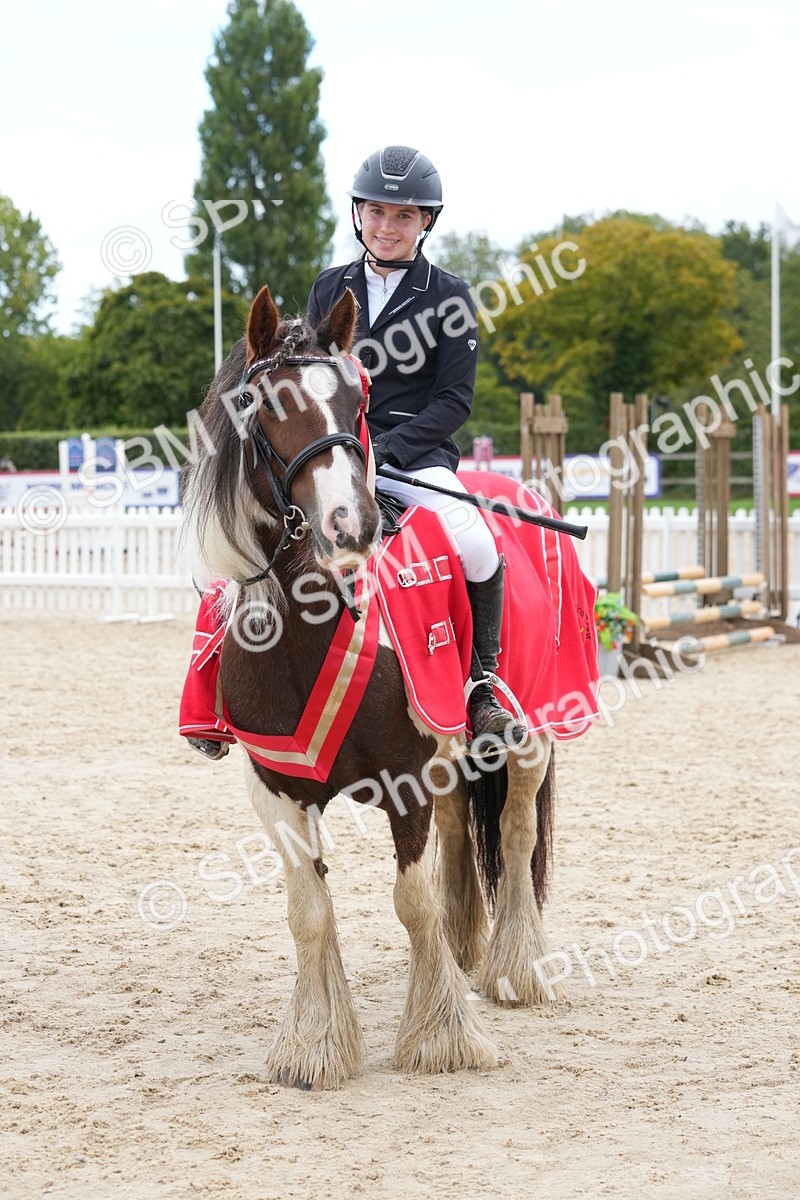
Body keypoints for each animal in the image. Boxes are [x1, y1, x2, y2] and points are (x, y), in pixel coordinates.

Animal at [181, 283, 566, 1090]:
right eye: (264, 402)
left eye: (356, 396)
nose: (350, 525)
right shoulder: (275, 786)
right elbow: (309, 911)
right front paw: (314, 1047)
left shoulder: (404, 778)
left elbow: (410, 901)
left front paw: (442, 1038)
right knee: (462, 829)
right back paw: (465, 951)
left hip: (535, 729)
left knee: (515, 834)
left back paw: (515, 970)